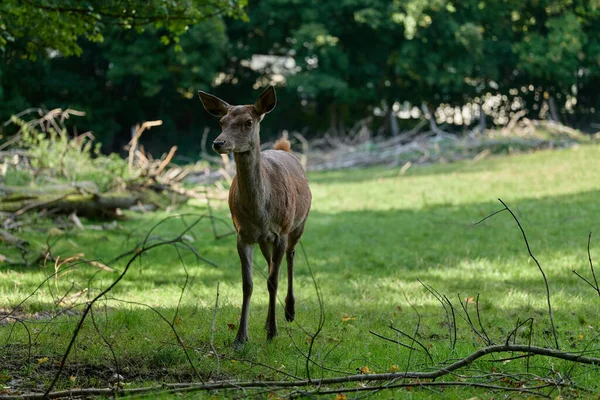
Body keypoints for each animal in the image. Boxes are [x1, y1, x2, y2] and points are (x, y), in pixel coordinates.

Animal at [199, 85, 312, 346]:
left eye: (248, 122)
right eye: (221, 121)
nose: (218, 143)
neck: (261, 213)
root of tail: (284, 149)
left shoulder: (280, 232)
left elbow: (273, 281)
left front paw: (273, 332)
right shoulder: (244, 235)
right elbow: (248, 284)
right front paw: (241, 337)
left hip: (298, 223)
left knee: (290, 257)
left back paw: (289, 312)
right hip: (264, 240)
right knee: (271, 264)